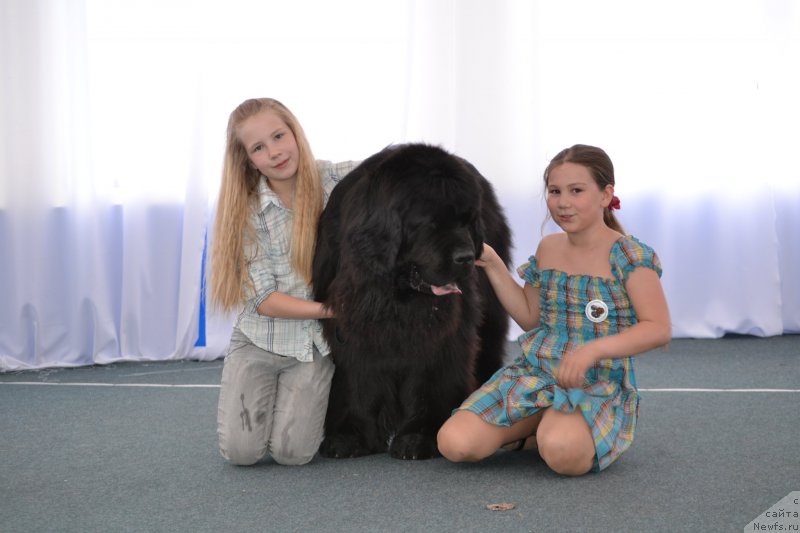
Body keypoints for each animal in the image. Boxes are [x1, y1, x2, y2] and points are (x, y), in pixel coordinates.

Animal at [312, 141, 512, 458]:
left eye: (467, 221)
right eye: (431, 223)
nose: (467, 257)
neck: (396, 296)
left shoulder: (442, 337)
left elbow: (429, 381)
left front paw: (419, 436)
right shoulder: (353, 328)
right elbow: (357, 381)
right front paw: (349, 435)